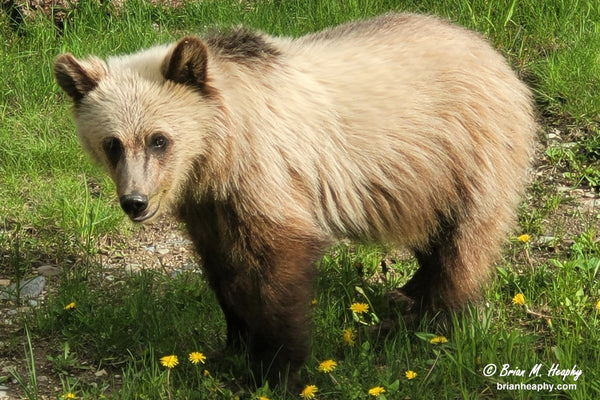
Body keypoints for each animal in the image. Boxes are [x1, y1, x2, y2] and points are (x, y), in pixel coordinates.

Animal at [55, 12, 536, 386]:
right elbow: (223, 271)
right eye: (112, 144)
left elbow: (277, 266)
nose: (135, 202)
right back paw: (409, 293)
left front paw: (274, 367)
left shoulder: (269, 176)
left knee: (465, 239)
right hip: (418, 179)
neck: (219, 155)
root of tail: (490, 50)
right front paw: (232, 345)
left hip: (465, 150)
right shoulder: (210, 206)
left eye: (159, 139)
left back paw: (430, 321)